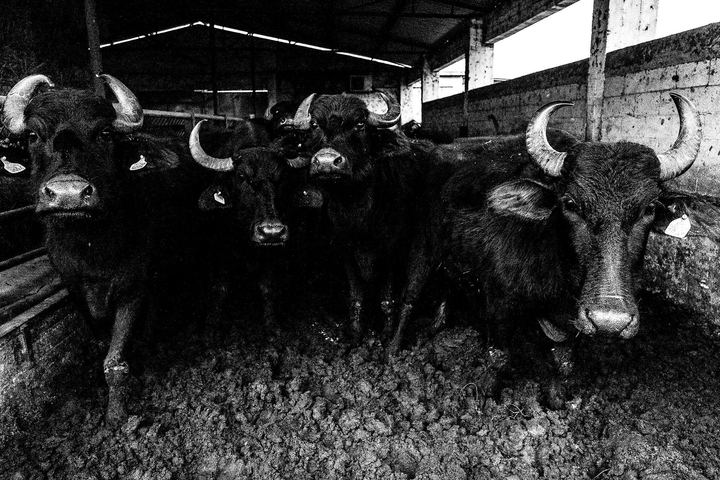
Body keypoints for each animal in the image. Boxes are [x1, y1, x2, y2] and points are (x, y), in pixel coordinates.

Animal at [2, 74, 208, 425]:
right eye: (32, 135)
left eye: (104, 133)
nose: (68, 194)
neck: (91, 248)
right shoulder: (74, 288)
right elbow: (101, 343)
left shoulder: (132, 287)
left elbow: (114, 362)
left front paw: (116, 417)